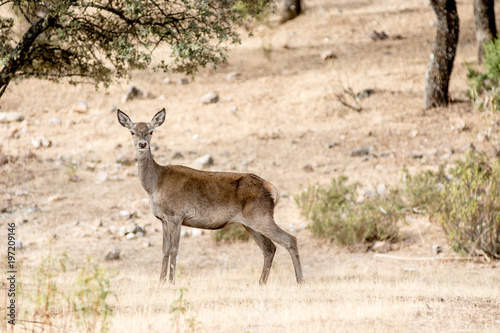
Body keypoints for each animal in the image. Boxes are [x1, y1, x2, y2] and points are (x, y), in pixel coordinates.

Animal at [117, 107, 304, 284]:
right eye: (132, 131)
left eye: (151, 131)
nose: (142, 144)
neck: (155, 184)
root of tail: (273, 190)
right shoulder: (163, 219)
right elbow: (164, 250)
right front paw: (161, 281)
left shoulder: (176, 215)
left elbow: (174, 249)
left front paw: (170, 282)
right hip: (250, 223)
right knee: (269, 248)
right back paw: (261, 283)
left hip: (261, 216)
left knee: (290, 240)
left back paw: (300, 281)